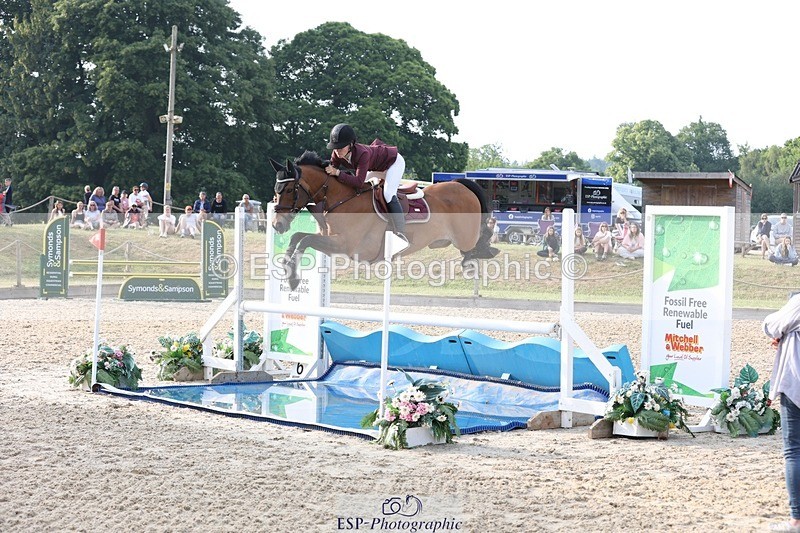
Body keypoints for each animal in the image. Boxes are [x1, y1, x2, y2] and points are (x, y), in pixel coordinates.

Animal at [269, 151, 498, 290]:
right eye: (276, 189)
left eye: (288, 190)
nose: (277, 225)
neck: (340, 199)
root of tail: (462, 184)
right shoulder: (328, 238)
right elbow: (298, 237)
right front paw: (286, 267)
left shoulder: (345, 244)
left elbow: (304, 240)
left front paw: (293, 279)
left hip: (464, 237)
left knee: (480, 238)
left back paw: (484, 252)